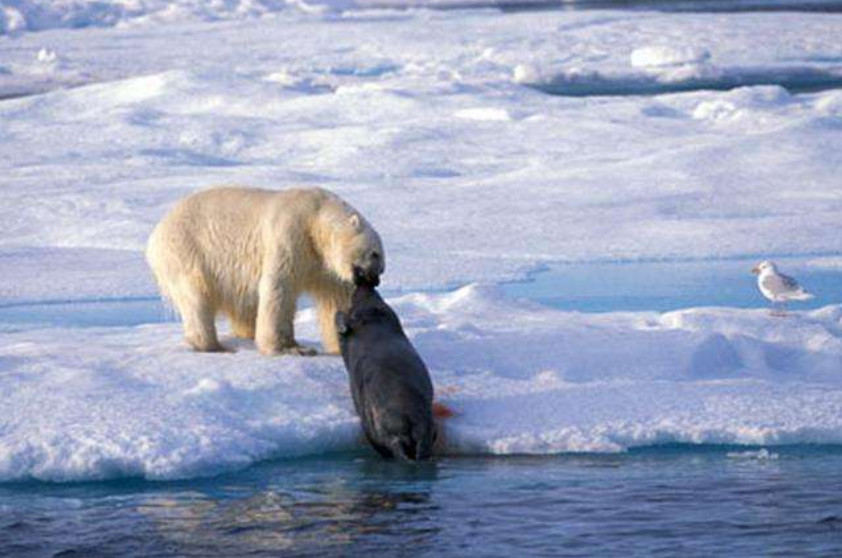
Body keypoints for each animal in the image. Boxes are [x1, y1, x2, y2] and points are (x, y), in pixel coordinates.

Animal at [145, 187, 384, 354]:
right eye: (375, 254)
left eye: (381, 259)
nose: (376, 279)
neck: (315, 218)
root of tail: (156, 235)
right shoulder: (290, 235)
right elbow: (279, 289)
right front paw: (290, 348)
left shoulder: (324, 266)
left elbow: (336, 299)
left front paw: (340, 344)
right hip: (187, 252)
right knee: (196, 297)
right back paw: (213, 346)